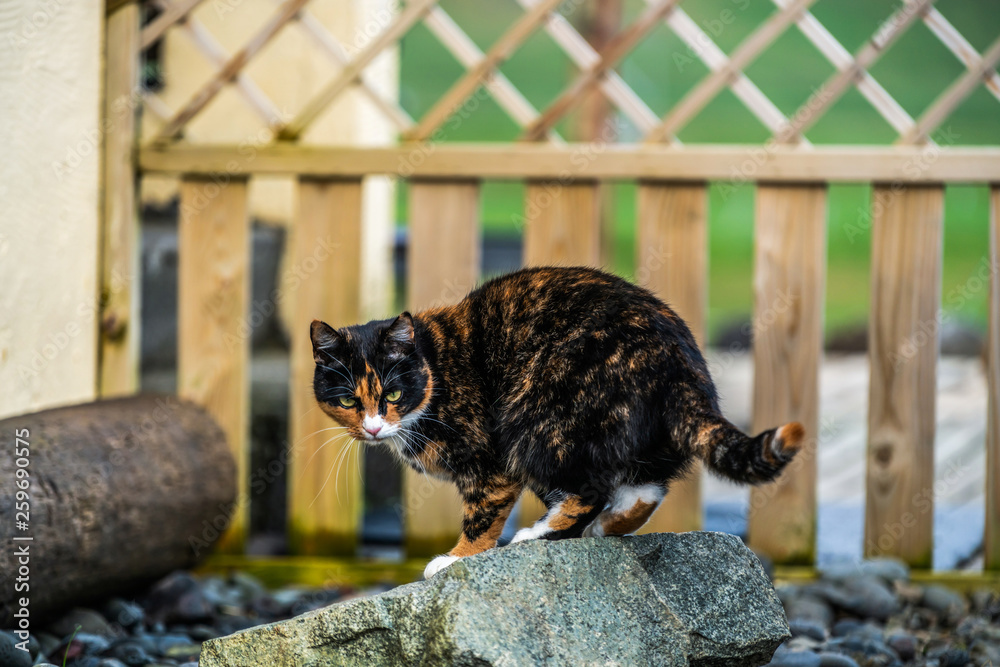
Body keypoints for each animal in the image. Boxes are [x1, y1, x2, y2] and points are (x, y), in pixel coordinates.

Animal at [312, 266, 804, 580]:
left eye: (393, 394)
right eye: (348, 400)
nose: (373, 428)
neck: (435, 367)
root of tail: (679, 363)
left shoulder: (490, 460)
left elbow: (483, 513)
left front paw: (456, 559)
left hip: (536, 422)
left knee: (590, 489)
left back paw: (536, 534)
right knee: (642, 488)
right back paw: (601, 527)